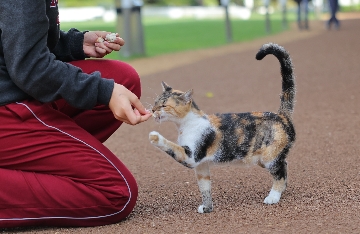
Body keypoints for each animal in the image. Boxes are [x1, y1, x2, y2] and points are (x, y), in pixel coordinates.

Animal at [148, 43, 296, 213]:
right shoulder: (201, 165)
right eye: (156, 102)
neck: (186, 124)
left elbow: (171, 146)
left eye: (164, 105)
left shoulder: (191, 156)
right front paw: (207, 208)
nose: (152, 110)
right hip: (263, 157)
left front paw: (154, 136)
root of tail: (281, 115)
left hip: (269, 157)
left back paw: (273, 197)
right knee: (285, 165)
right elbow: (205, 188)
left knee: (280, 173)